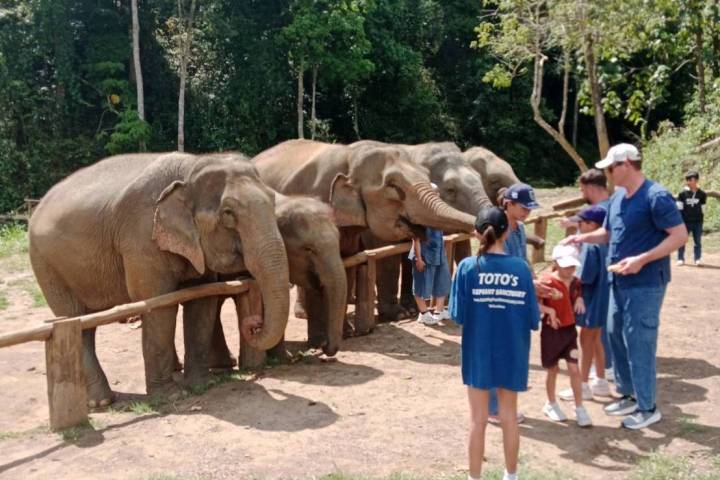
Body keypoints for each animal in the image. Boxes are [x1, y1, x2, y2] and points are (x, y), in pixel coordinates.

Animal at [29, 152, 290, 407]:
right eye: (228, 214)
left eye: (273, 201)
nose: (254, 324)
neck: (192, 166)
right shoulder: (142, 240)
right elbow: (158, 306)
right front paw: (171, 396)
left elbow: (202, 302)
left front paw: (202, 384)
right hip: (47, 264)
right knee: (74, 319)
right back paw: (101, 401)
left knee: (86, 323)